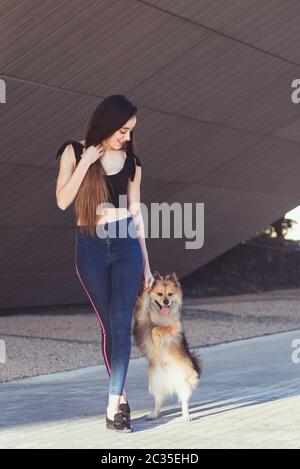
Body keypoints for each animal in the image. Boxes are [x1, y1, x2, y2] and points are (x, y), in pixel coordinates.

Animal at [131, 270, 202, 420]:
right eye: (159, 294)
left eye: (170, 294)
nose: (166, 302)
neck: (159, 315)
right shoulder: (141, 320)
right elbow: (145, 307)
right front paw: (146, 289)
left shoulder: (174, 328)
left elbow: (158, 329)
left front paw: (156, 338)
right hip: (155, 383)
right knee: (158, 400)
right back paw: (153, 414)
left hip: (183, 382)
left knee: (184, 401)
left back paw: (186, 416)